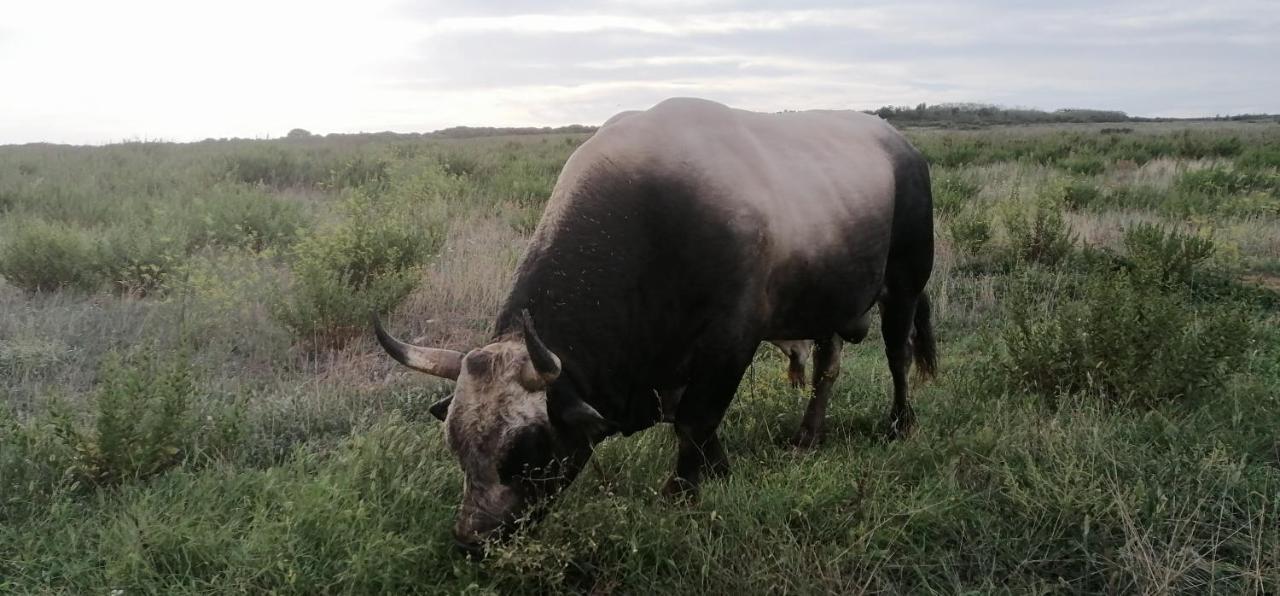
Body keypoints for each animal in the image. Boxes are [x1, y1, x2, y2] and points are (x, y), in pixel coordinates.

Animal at [373, 96, 936, 555]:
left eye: (528, 450)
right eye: (457, 446)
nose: (472, 540)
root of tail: (901, 145)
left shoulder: (729, 345)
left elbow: (694, 422)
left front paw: (681, 492)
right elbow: (695, 425)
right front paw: (717, 470)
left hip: (905, 283)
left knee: (898, 356)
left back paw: (899, 424)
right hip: (827, 307)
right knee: (826, 367)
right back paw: (808, 434)